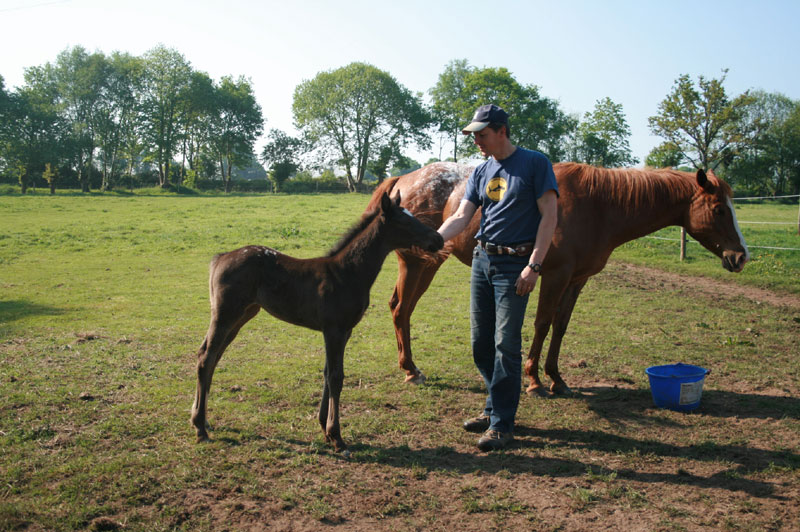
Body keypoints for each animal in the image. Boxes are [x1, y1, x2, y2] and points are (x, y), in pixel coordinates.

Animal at [191, 192, 444, 453]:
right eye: (404, 221)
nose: (438, 238)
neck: (347, 273)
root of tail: (221, 257)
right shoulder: (334, 330)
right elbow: (336, 376)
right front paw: (337, 437)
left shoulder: (344, 331)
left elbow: (326, 373)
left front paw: (324, 427)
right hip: (226, 314)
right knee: (206, 357)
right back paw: (200, 427)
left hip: (243, 315)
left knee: (212, 356)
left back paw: (204, 421)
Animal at [368, 161, 749, 395]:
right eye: (718, 209)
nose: (741, 256)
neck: (597, 205)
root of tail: (405, 180)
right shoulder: (553, 275)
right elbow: (541, 323)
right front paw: (535, 380)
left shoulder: (577, 280)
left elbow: (561, 326)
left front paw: (557, 379)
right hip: (418, 264)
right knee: (401, 310)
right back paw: (411, 370)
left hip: (426, 264)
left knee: (400, 308)